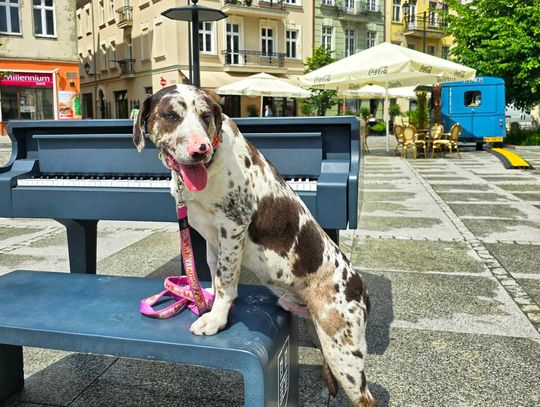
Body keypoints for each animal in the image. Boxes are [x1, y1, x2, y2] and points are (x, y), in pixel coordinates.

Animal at [133, 84, 378, 406]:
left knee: (366, 398)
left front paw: (216, 319)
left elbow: (226, 282)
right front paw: (208, 302)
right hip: (322, 336)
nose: (201, 149)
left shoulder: (233, 226)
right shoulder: (212, 236)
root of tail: (362, 288)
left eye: (205, 115)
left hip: (343, 349)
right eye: (171, 115)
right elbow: (215, 274)